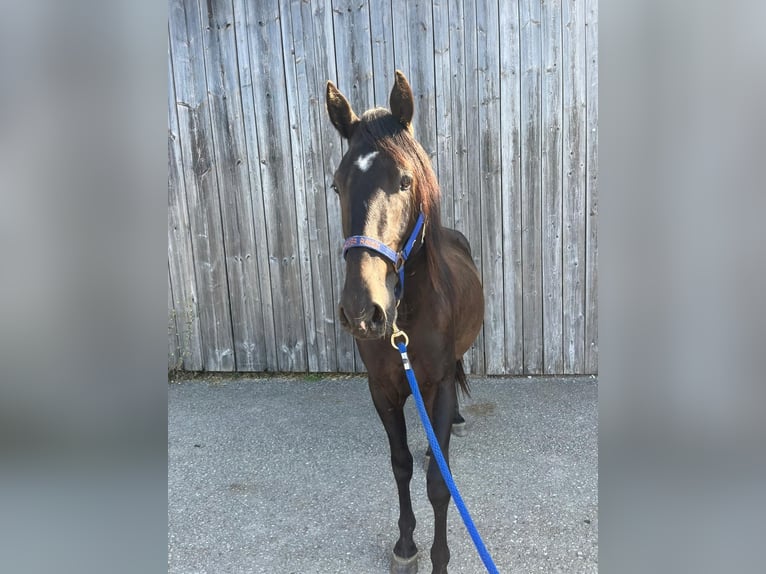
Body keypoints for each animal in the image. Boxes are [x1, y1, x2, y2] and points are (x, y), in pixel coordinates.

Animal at [325, 71, 485, 574]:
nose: (362, 309)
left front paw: (440, 559)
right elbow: (400, 466)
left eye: (404, 180)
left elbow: (438, 482)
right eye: (337, 186)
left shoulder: (437, 382)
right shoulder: (383, 389)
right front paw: (406, 544)